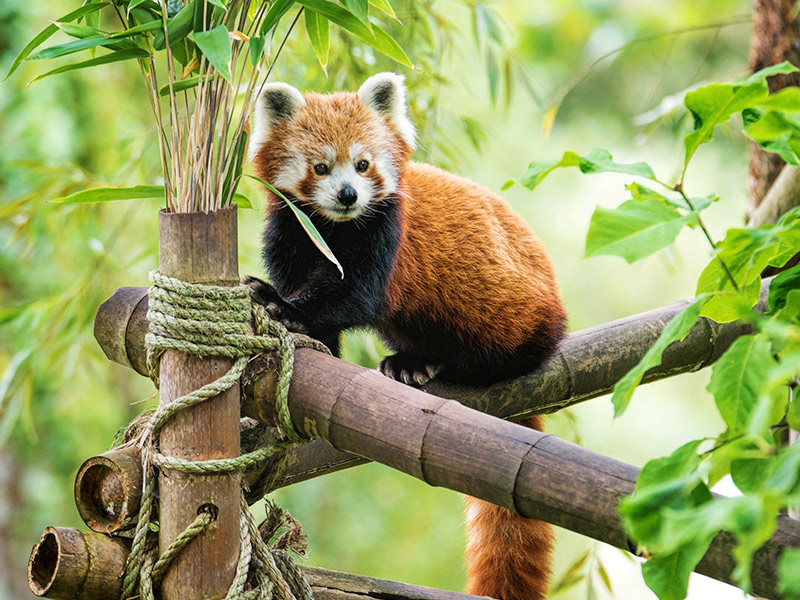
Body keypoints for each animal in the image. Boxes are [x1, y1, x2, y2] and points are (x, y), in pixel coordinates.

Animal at [247, 74, 564, 600]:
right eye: (320, 166)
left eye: (363, 164)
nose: (349, 195)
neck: (333, 229)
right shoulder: (293, 230)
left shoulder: (385, 234)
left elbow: (354, 293)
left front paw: (282, 306)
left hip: (509, 310)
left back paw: (428, 362)